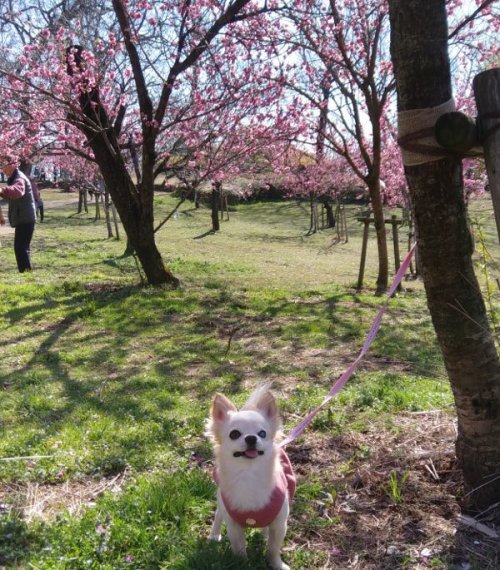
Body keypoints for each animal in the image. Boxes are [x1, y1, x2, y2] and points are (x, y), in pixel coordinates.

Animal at [205, 386, 294, 568]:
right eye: (234, 434)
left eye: (262, 433)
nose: (252, 438)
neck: (249, 474)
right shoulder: (233, 526)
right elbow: (239, 549)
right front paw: (243, 564)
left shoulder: (279, 525)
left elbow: (273, 548)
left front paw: (276, 564)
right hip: (221, 503)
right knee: (218, 515)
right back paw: (214, 535)